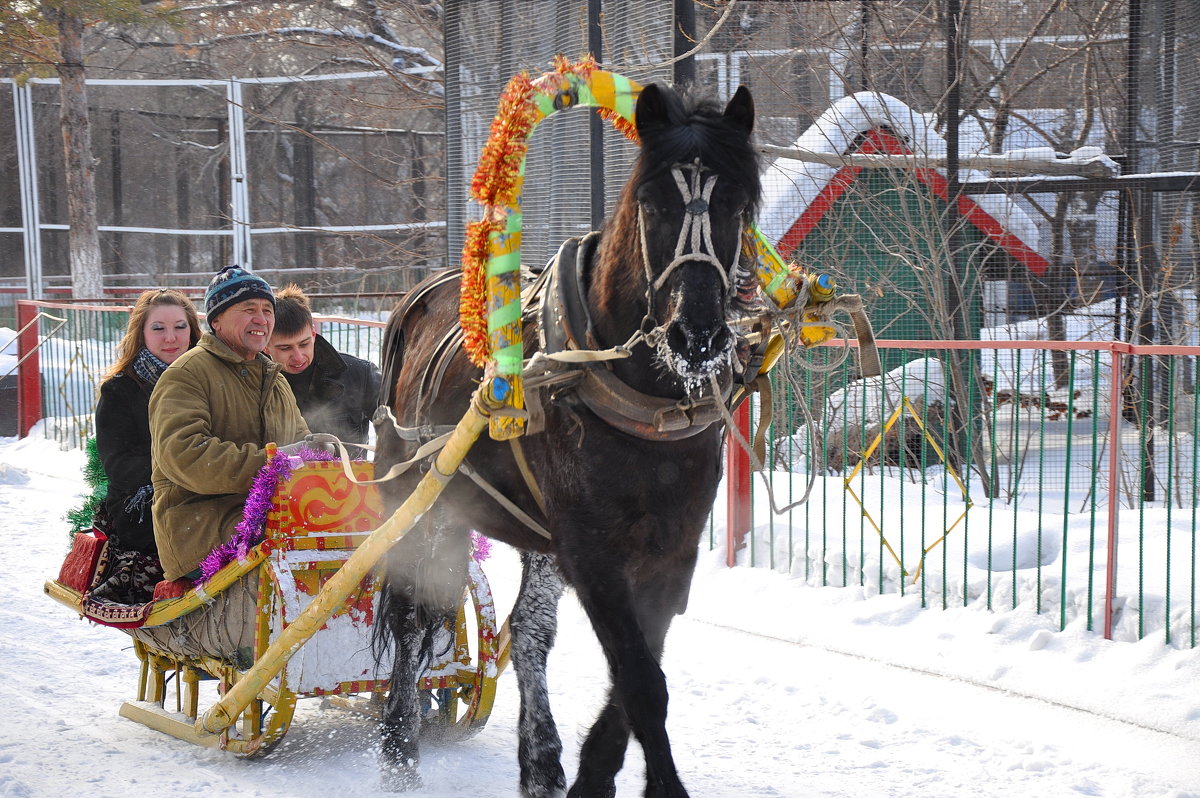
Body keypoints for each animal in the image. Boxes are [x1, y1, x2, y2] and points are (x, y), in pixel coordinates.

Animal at [374, 84, 758, 792]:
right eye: (653, 203)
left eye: (737, 204)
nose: (698, 335)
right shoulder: (593, 552)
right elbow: (642, 684)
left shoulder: (671, 552)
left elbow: (638, 676)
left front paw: (589, 772)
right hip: (422, 500)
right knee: (412, 616)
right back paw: (398, 745)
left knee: (528, 633)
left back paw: (539, 759)